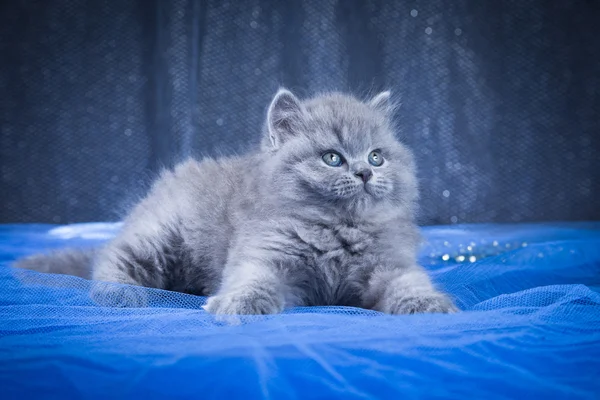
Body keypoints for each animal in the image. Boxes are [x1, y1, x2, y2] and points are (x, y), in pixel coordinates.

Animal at [16, 88, 458, 316]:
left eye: (377, 156)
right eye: (332, 158)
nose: (365, 173)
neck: (338, 230)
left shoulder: (390, 263)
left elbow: (409, 281)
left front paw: (430, 304)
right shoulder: (263, 252)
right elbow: (253, 279)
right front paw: (238, 304)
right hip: (160, 235)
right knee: (112, 255)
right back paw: (121, 294)